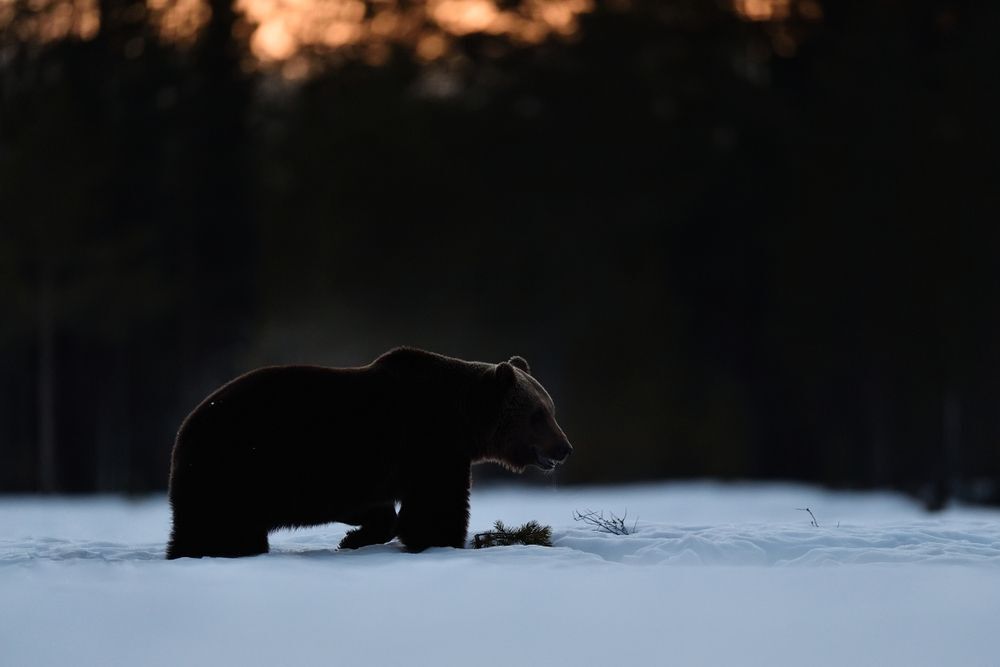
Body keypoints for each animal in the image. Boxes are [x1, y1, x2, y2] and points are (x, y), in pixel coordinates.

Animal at [166, 347, 573, 558]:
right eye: (539, 414)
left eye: (551, 409)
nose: (565, 447)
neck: (462, 419)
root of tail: (185, 427)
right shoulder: (430, 444)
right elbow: (436, 506)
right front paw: (441, 541)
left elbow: (381, 509)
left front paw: (354, 537)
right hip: (235, 469)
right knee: (215, 526)